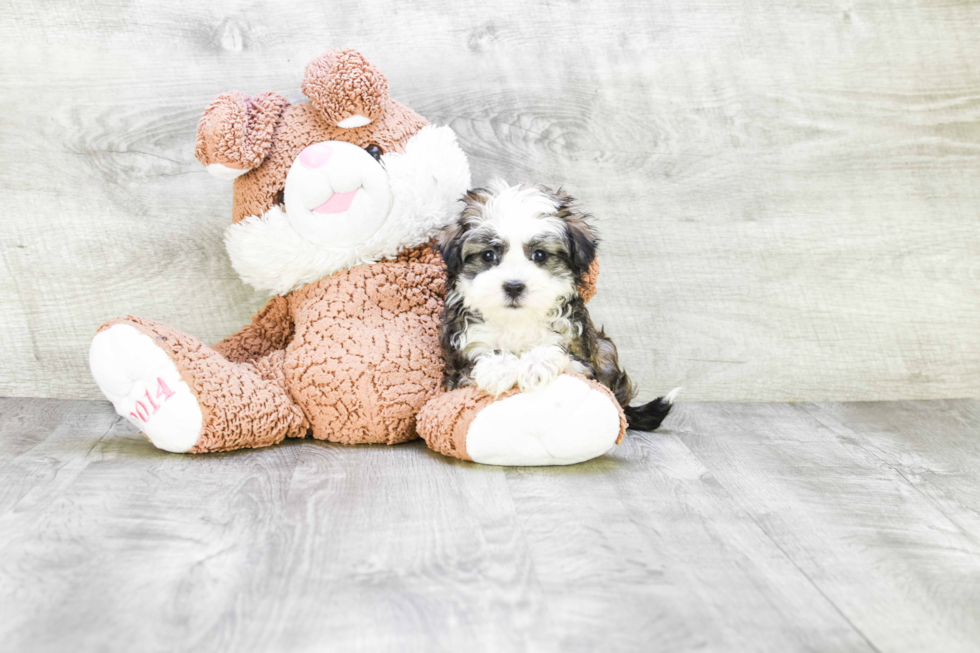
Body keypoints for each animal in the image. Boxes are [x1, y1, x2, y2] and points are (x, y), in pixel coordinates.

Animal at [438, 181, 676, 430]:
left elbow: (563, 355)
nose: (514, 286)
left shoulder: (585, 363)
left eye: (540, 255)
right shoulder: (457, 366)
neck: (518, 321)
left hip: (605, 350)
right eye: (488, 255)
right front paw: (498, 368)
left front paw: (536, 365)